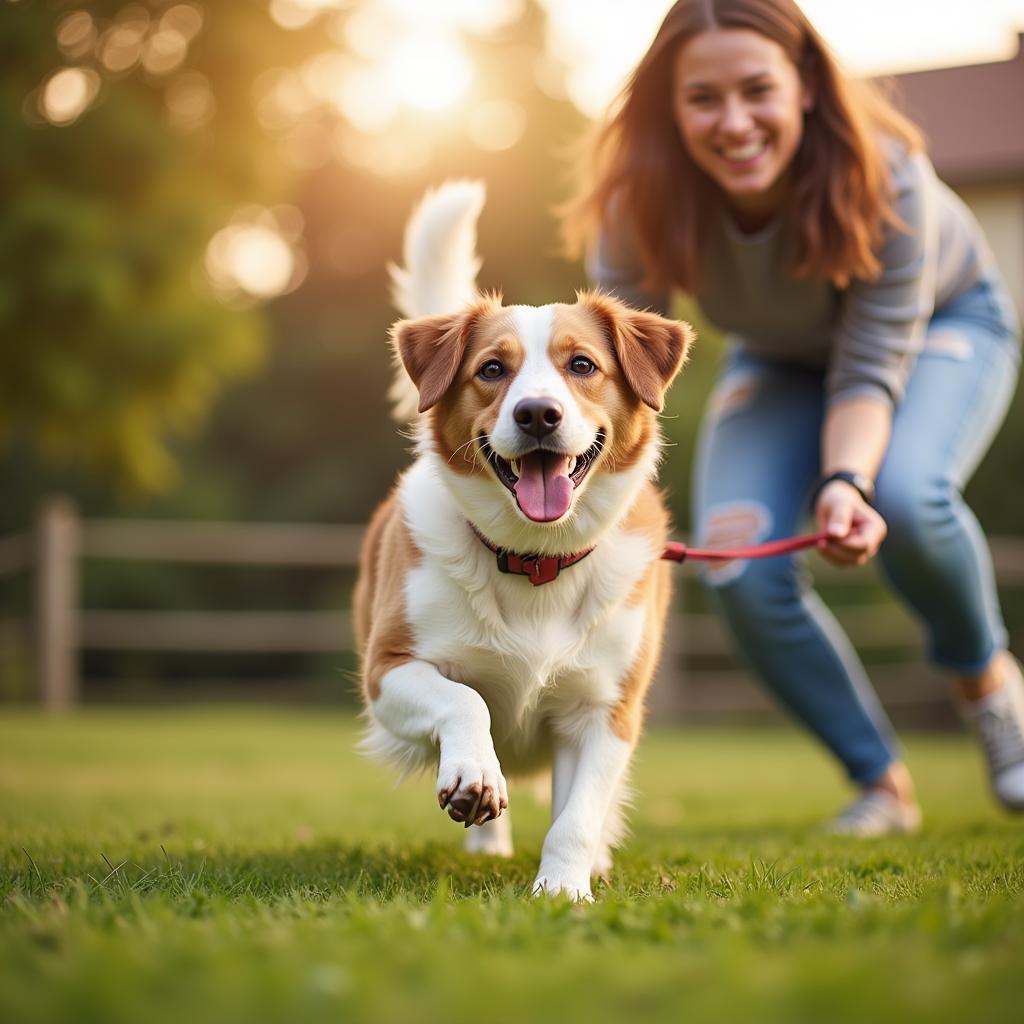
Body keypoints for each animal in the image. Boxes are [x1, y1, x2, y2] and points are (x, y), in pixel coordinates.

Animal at [354, 180, 696, 901]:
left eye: (582, 365)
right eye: (491, 369)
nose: (538, 413)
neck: (537, 559)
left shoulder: (605, 711)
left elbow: (578, 815)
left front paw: (564, 890)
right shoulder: (388, 670)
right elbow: (466, 701)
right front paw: (473, 777)